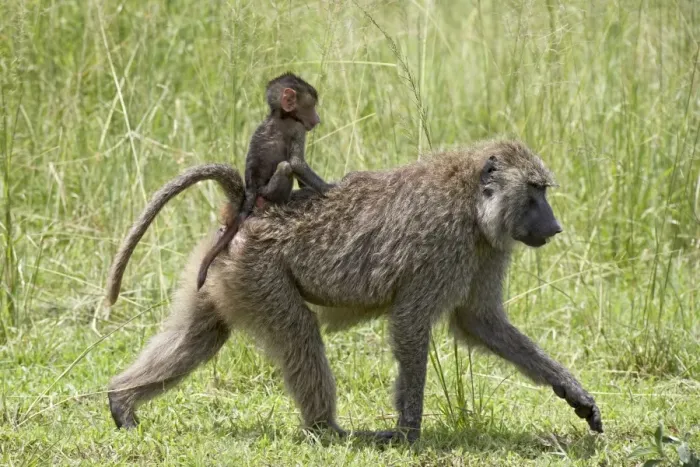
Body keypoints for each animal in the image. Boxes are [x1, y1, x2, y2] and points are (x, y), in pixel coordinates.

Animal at [106, 140, 603, 441]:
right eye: (535, 191)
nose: (555, 227)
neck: (469, 197)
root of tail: (246, 209)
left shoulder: (487, 249)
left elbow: (480, 322)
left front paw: (573, 394)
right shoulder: (442, 246)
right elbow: (411, 323)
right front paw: (407, 432)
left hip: (223, 272)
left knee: (199, 334)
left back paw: (121, 401)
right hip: (259, 272)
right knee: (300, 333)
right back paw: (327, 430)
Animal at [196, 72, 335, 291]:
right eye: (311, 106)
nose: (317, 119)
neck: (279, 115)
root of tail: (253, 190)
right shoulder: (298, 128)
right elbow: (296, 163)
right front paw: (329, 188)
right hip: (269, 191)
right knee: (285, 167)